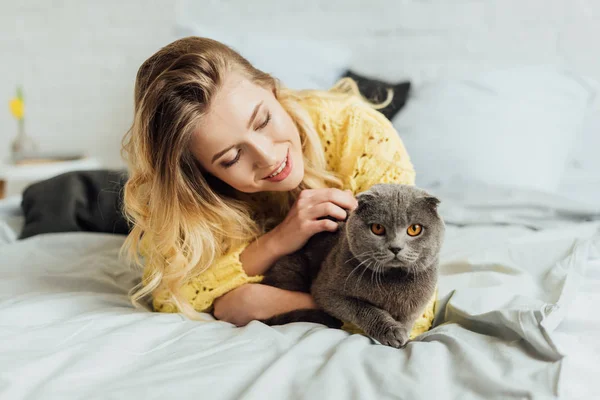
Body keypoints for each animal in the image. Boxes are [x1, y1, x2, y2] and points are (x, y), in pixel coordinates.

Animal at [258, 183, 446, 348]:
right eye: (377, 228)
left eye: (414, 229)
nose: (395, 247)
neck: (393, 280)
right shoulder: (326, 292)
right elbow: (363, 308)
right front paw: (393, 332)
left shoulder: (414, 309)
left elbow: (406, 321)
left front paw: (403, 335)